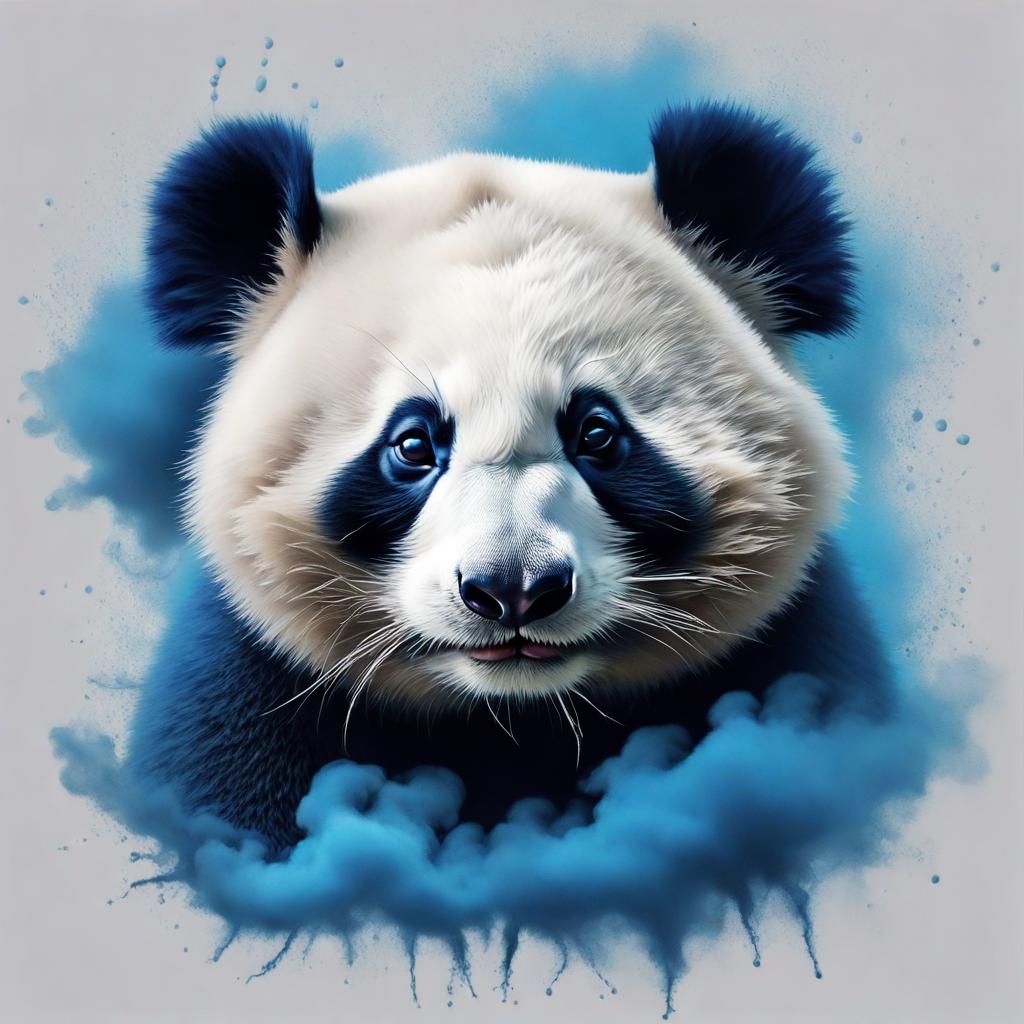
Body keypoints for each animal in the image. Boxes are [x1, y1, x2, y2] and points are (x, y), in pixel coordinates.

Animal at [130, 104, 890, 850]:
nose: (514, 591)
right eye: (412, 444)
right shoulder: (251, 694)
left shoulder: (796, 656)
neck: (516, 716)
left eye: (597, 433)